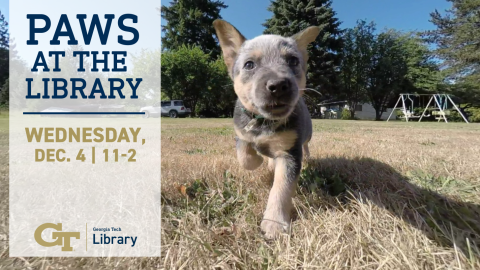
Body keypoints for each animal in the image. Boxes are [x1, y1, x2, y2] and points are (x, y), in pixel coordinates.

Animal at [213, 19, 318, 238]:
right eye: (249, 64)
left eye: (293, 61)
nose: (278, 85)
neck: (265, 123)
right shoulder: (240, 132)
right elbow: (245, 157)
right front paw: (257, 158)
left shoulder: (289, 153)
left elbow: (281, 188)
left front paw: (274, 223)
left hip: (306, 135)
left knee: (306, 144)